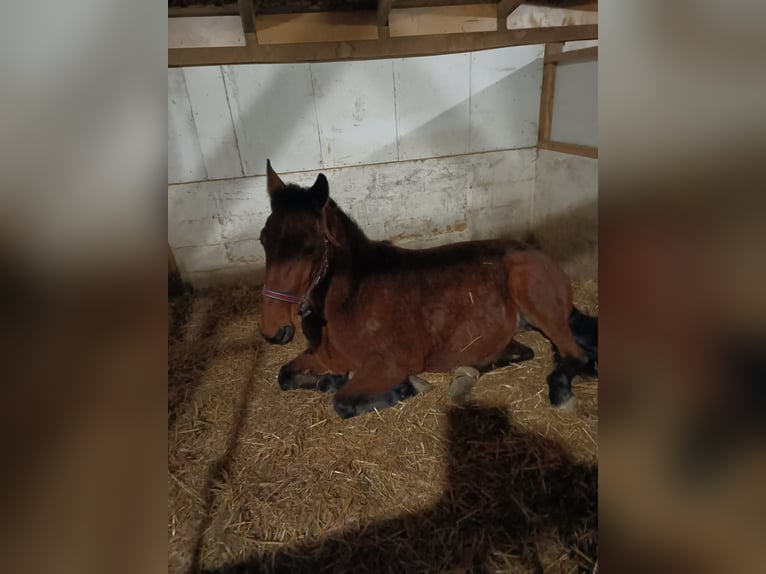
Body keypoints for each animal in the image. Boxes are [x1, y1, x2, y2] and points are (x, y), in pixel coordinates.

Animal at [259, 161, 598, 419]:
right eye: (263, 240)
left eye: (308, 248)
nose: (274, 331)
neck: (352, 299)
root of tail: (540, 256)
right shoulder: (324, 356)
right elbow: (285, 376)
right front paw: (332, 379)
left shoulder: (391, 363)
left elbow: (343, 401)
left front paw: (408, 386)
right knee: (520, 351)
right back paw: (465, 376)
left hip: (533, 297)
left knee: (575, 355)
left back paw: (561, 393)